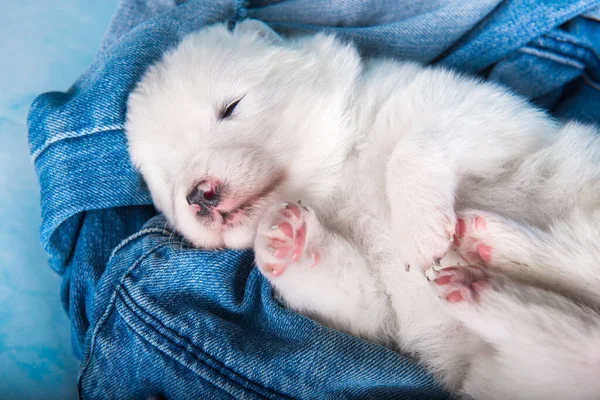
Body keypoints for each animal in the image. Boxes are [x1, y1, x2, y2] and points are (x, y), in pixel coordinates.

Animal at [125, 19, 600, 400]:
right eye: (166, 178)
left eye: (231, 107)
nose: (197, 194)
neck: (337, 176)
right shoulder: (375, 310)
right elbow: (354, 296)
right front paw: (282, 237)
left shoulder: (482, 114)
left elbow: (414, 146)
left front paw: (421, 231)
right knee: (575, 333)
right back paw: (477, 284)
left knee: (575, 260)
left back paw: (493, 248)